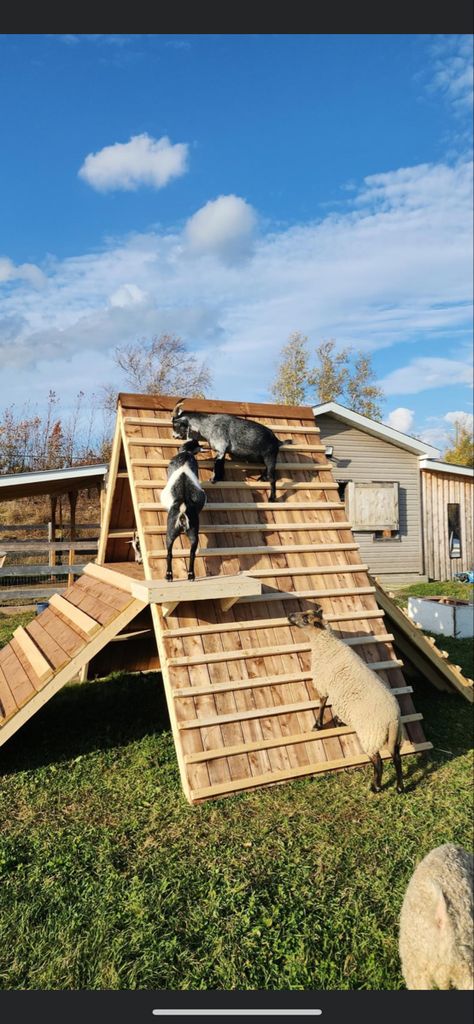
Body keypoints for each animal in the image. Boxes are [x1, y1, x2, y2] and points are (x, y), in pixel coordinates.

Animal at [160, 440, 206, 585]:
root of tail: (183, 507)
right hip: (193, 534)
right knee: (192, 554)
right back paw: (191, 575)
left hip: (169, 532)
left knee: (169, 553)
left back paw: (168, 576)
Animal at [286, 602, 405, 794]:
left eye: (305, 618)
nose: (289, 615)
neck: (325, 642)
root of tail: (393, 719)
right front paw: (338, 720)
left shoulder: (322, 684)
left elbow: (322, 704)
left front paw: (317, 725)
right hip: (394, 738)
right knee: (397, 758)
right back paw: (400, 787)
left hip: (370, 735)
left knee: (378, 762)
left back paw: (376, 786)